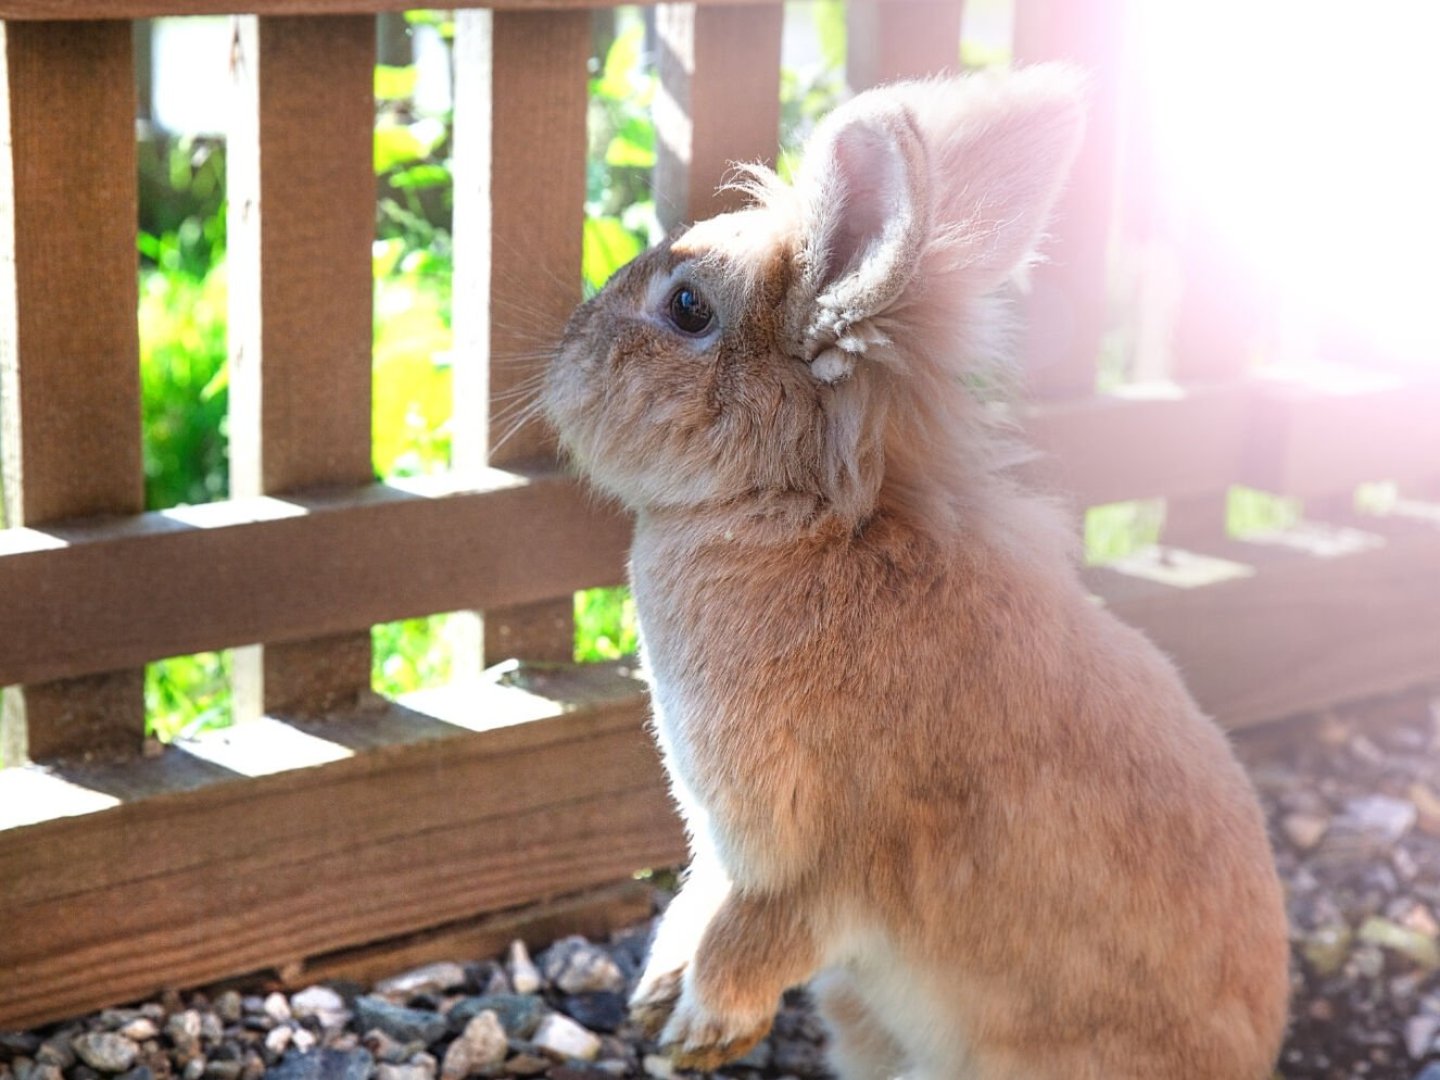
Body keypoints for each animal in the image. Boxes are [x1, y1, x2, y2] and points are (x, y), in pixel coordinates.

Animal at [544, 67, 1290, 1080]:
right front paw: (658, 988)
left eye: (688, 307)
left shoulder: (827, 861)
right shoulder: (727, 846)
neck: (812, 520)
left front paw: (698, 1030)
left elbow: (758, 931)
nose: (561, 363)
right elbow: (700, 899)